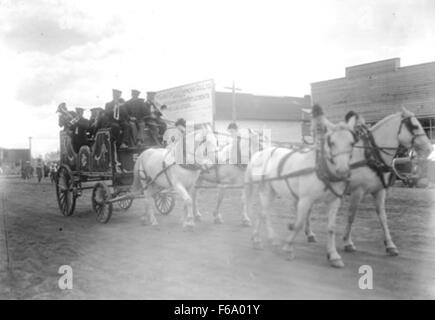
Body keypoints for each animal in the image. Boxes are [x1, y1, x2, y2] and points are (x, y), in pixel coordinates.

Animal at [245, 106, 358, 268]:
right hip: (265, 190)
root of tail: (260, 152)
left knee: (262, 213)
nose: (342, 171)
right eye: (331, 142)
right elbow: (298, 224)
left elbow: (331, 228)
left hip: (272, 191)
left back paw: (262, 238)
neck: (321, 170)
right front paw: (288, 247)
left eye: (352, 143)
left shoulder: (334, 200)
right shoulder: (305, 200)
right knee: (264, 213)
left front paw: (334, 256)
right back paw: (262, 239)